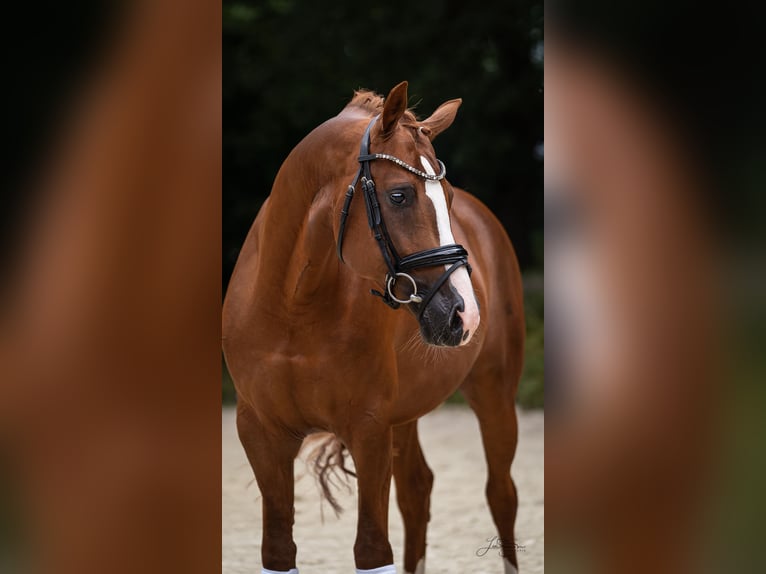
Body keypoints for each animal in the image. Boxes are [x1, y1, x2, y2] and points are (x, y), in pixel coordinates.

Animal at [219, 82, 524, 574]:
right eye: (399, 195)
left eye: (448, 198)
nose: (466, 314)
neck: (292, 309)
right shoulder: (261, 433)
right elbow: (278, 550)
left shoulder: (369, 431)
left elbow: (371, 549)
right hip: (407, 414)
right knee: (417, 491)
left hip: (494, 392)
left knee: (501, 495)